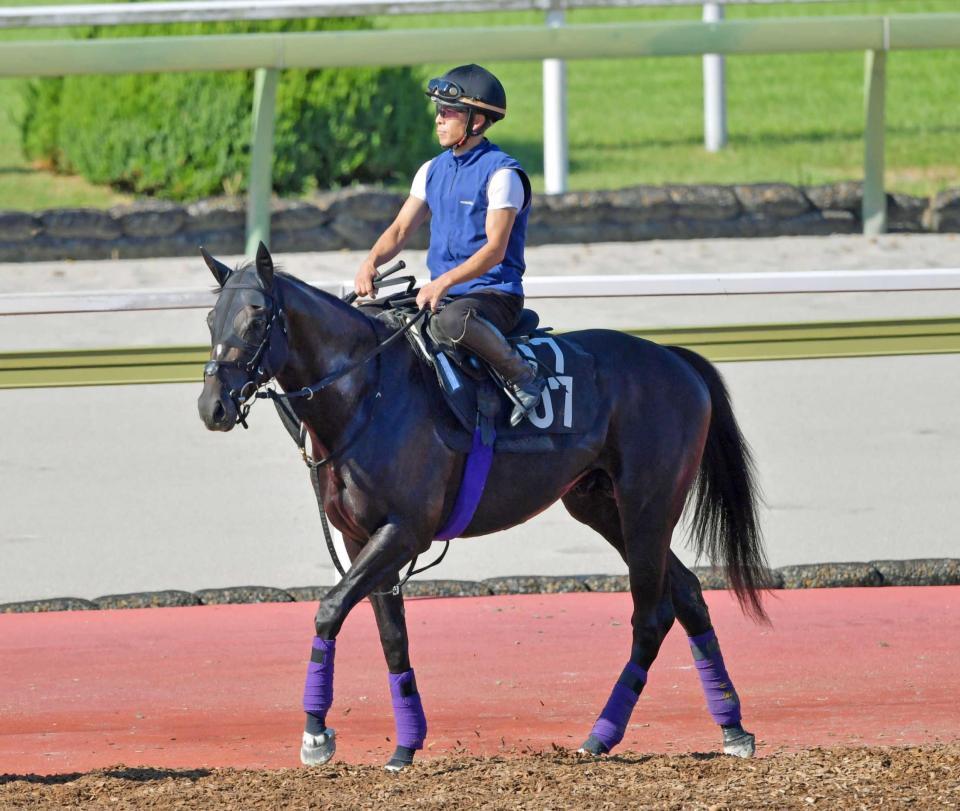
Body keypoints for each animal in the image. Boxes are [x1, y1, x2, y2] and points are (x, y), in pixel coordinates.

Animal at [199, 243, 768, 772]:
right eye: (210, 319)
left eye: (256, 316)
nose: (214, 406)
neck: (367, 396)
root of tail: (674, 358)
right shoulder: (363, 539)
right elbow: (392, 637)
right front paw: (405, 745)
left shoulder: (403, 531)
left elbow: (329, 611)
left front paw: (316, 734)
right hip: (602, 506)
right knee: (688, 594)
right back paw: (732, 727)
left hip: (647, 505)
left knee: (651, 616)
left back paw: (601, 735)